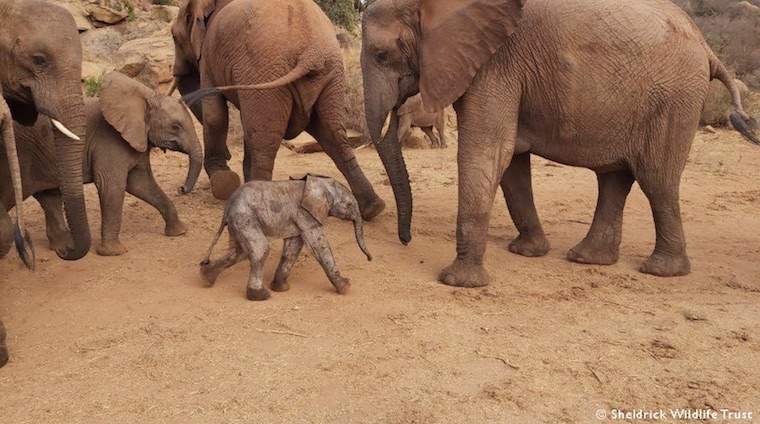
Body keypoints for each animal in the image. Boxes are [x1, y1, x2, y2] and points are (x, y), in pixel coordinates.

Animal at [0, 72, 203, 256]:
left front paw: (179, 232)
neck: (143, 98)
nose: (181, 188)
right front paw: (114, 252)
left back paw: (63, 248)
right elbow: (113, 186)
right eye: (175, 127)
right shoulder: (109, 141)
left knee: (49, 198)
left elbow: (141, 184)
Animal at [170, 0, 386, 222]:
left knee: (266, 141)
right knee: (333, 136)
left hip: (264, 70)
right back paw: (373, 208)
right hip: (329, 75)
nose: (181, 190)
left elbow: (215, 115)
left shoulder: (209, 57)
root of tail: (311, 53)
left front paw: (223, 182)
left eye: (174, 37)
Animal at [200, 174, 373, 301]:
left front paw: (281, 288)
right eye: (349, 205)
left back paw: (206, 277)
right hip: (245, 218)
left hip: (239, 222)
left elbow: (293, 246)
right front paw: (346, 287)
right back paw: (261, 296)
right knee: (260, 250)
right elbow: (318, 244)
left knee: (239, 253)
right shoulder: (305, 214)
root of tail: (227, 208)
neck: (318, 182)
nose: (369, 259)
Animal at [360, 0, 760, 287]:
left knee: (656, 180)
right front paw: (528, 253)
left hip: (673, 99)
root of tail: (706, 46)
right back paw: (587, 258)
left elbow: (488, 153)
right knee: (615, 178)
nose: (406, 240)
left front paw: (458, 282)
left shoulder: (495, 64)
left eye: (382, 55)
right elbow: (512, 163)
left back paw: (660, 271)